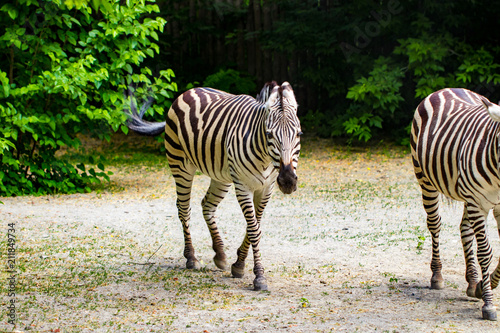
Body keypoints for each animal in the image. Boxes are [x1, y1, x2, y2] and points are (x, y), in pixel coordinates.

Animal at [124, 81, 300, 290]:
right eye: (268, 134)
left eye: (299, 133)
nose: (288, 181)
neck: (265, 159)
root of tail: (189, 91)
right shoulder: (243, 186)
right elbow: (254, 230)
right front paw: (259, 277)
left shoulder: (267, 188)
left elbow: (254, 227)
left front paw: (239, 264)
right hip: (180, 166)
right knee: (184, 209)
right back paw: (191, 258)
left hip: (221, 176)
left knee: (207, 205)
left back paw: (220, 254)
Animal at [412, 87, 500, 320]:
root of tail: (446, 89)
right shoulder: (477, 202)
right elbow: (485, 252)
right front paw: (488, 303)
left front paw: (482, 286)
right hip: (426, 180)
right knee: (435, 225)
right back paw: (437, 275)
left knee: (464, 229)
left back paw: (472, 281)